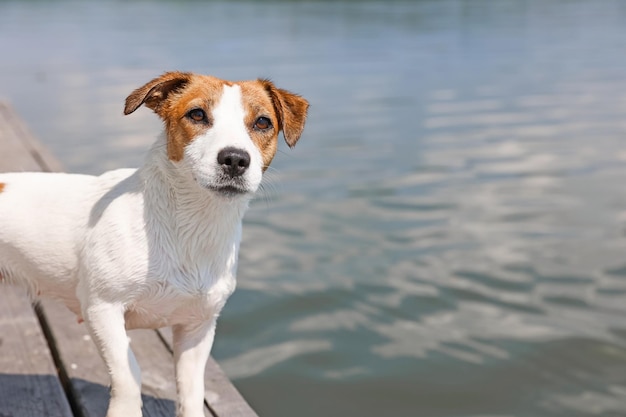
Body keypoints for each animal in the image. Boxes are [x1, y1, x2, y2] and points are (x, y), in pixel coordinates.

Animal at [0, 72, 308, 416]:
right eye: (197, 114)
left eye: (263, 122)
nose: (235, 159)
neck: (191, 226)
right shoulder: (102, 309)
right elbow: (129, 373)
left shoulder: (197, 328)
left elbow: (192, 391)